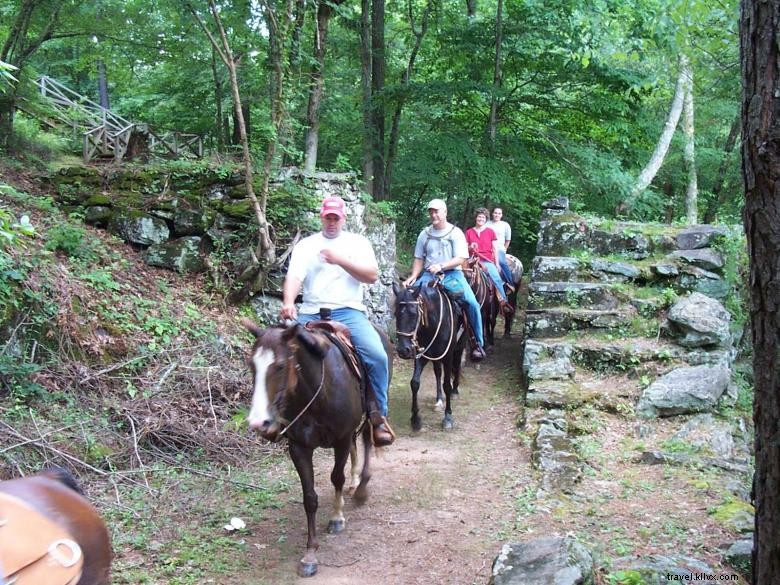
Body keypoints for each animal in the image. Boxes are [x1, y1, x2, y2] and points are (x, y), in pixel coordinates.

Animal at [244, 320, 390, 576]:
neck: (318, 391)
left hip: (369, 414)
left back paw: (361, 487)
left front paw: (337, 518)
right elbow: (310, 497)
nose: (258, 423)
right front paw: (310, 553)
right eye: (252, 365)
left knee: (366, 439)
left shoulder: (341, 439)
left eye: (280, 366)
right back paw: (355, 482)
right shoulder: (299, 447)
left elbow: (336, 478)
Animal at [394, 280, 466, 432]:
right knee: (437, 372)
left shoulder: (448, 356)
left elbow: (447, 385)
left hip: (459, 347)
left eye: (414, 313)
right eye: (396, 313)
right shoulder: (421, 355)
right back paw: (439, 399)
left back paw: (455, 391)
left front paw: (448, 417)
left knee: (457, 367)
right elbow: (415, 383)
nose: (403, 350)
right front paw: (415, 419)